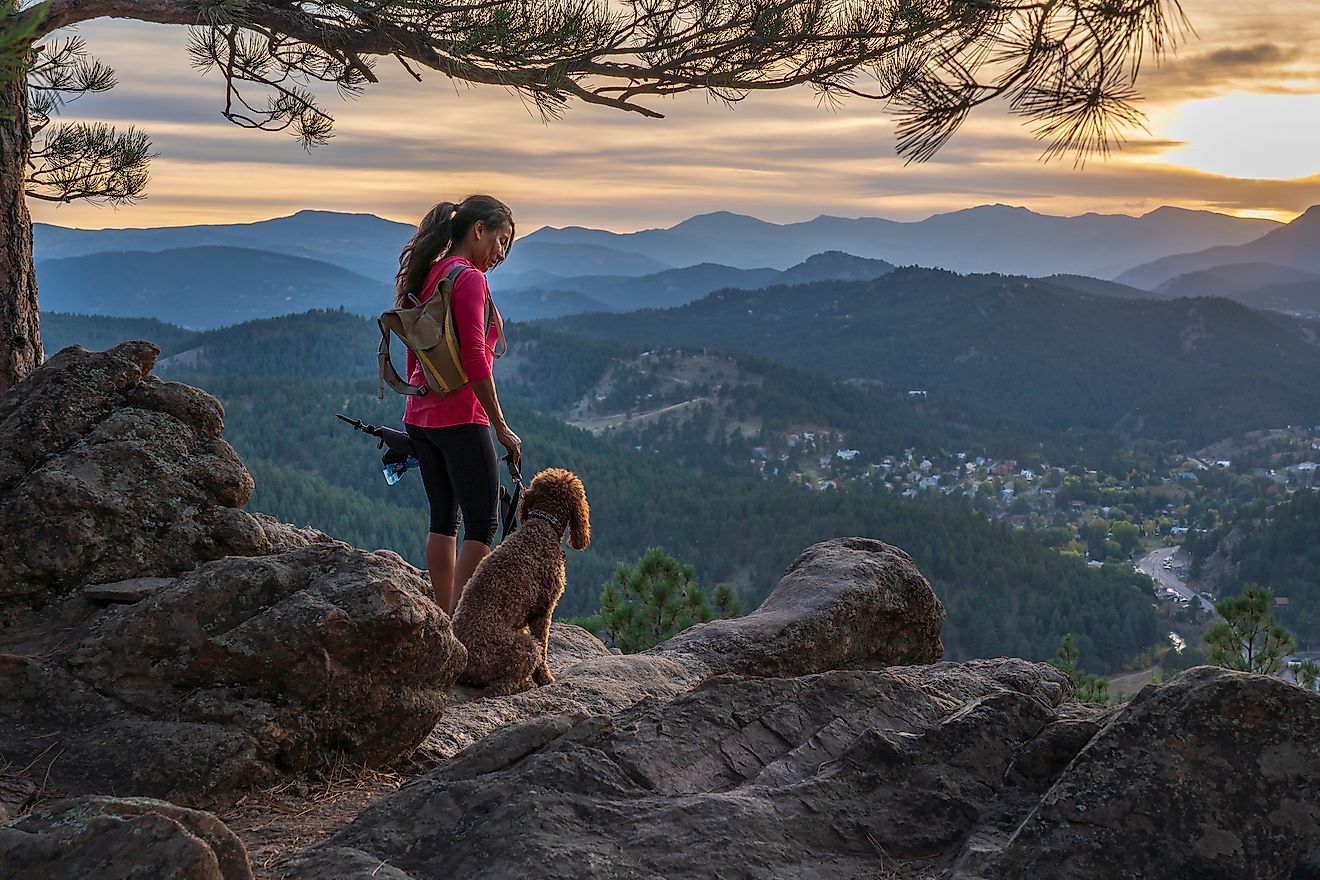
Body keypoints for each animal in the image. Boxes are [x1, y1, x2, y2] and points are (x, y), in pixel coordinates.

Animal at [451, 464, 591, 696]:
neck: (542, 525)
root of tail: (465, 665)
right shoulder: (543, 611)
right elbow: (544, 647)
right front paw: (545, 677)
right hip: (524, 646)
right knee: (501, 686)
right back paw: (526, 683)